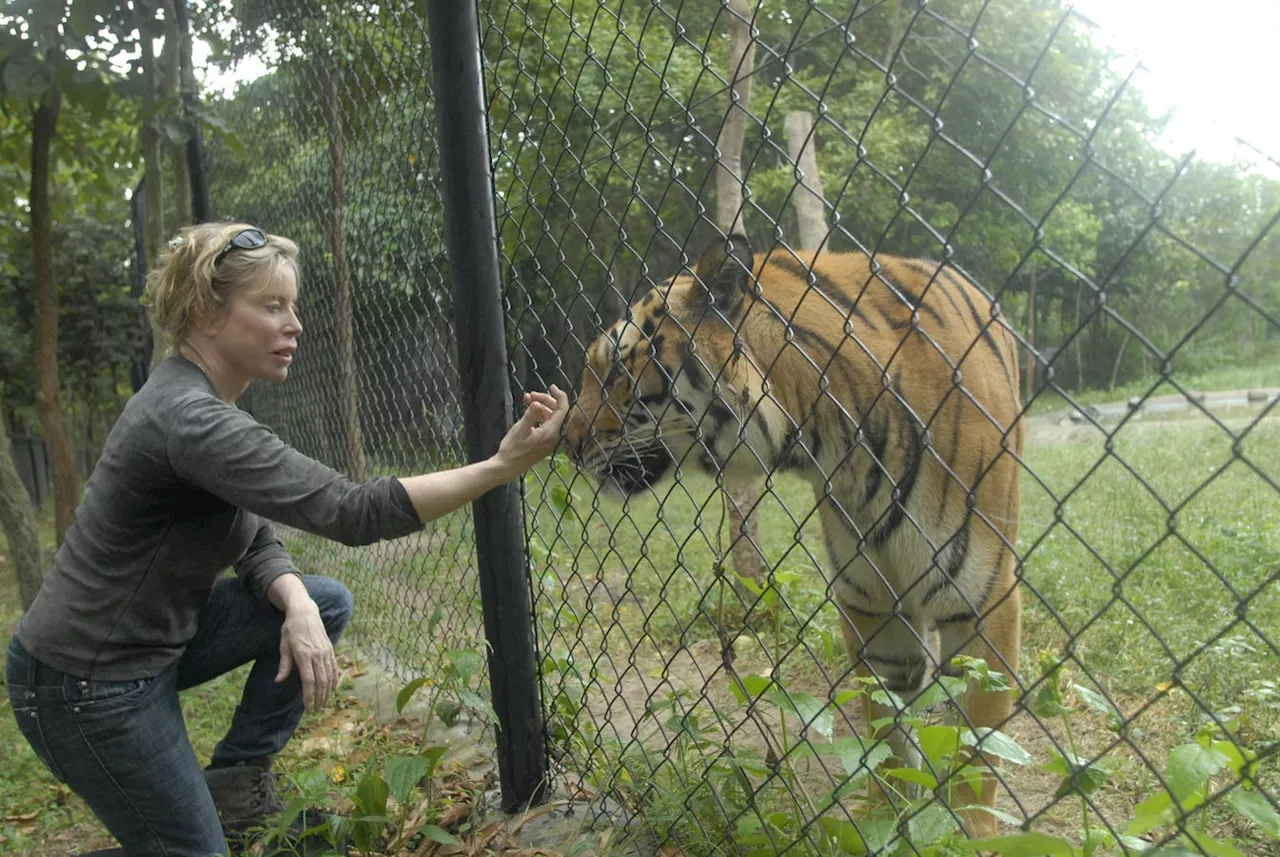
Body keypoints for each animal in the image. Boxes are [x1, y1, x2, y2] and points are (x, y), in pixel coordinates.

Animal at [565, 235, 1024, 839]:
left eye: (616, 369)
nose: (566, 444)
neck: (828, 437)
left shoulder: (984, 599)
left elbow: (977, 755)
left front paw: (967, 834)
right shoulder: (870, 602)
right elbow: (885, 733)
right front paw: (887, 820)